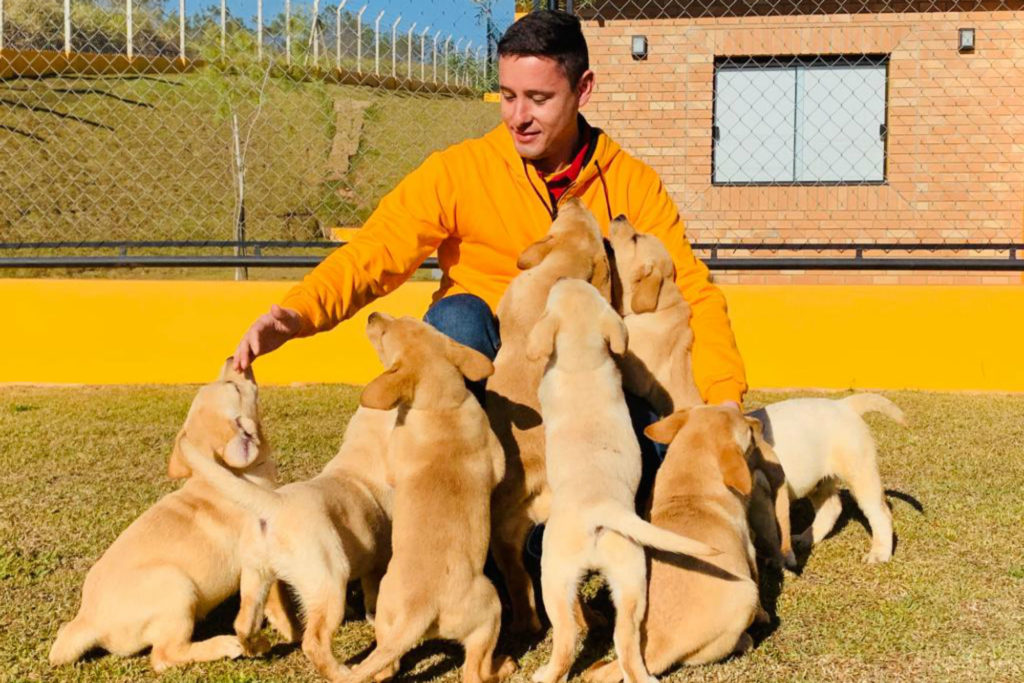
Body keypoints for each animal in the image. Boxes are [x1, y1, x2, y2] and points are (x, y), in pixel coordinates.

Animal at [528, 278, 720, 683]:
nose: (563, 278)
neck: (582, 361)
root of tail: (602, 510)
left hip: (555, 576)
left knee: (567, 637)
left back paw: (547, 673)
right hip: (631, 582)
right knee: (627, 643)